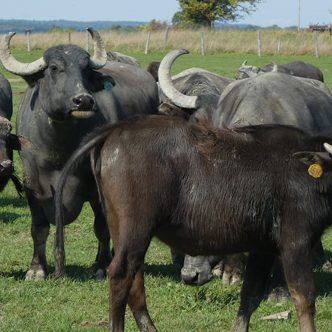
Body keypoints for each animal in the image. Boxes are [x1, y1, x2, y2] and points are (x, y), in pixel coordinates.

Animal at [0, 28, 160, 278]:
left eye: (84, 69)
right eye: (54, 68)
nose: (83, 100)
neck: (60, 149)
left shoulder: (96, 186)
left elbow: (102, 228)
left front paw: (101, 266)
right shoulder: (32, 185)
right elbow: (39, 228)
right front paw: (36, 269)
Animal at [54, 115, 332, 332]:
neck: (309, 175)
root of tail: (117, 129)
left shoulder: (263, 248)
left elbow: (249, 296)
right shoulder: (295, 244)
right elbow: (304, 298)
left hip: (120, 228)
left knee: (135, 278)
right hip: (136, 228)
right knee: (121, 275)